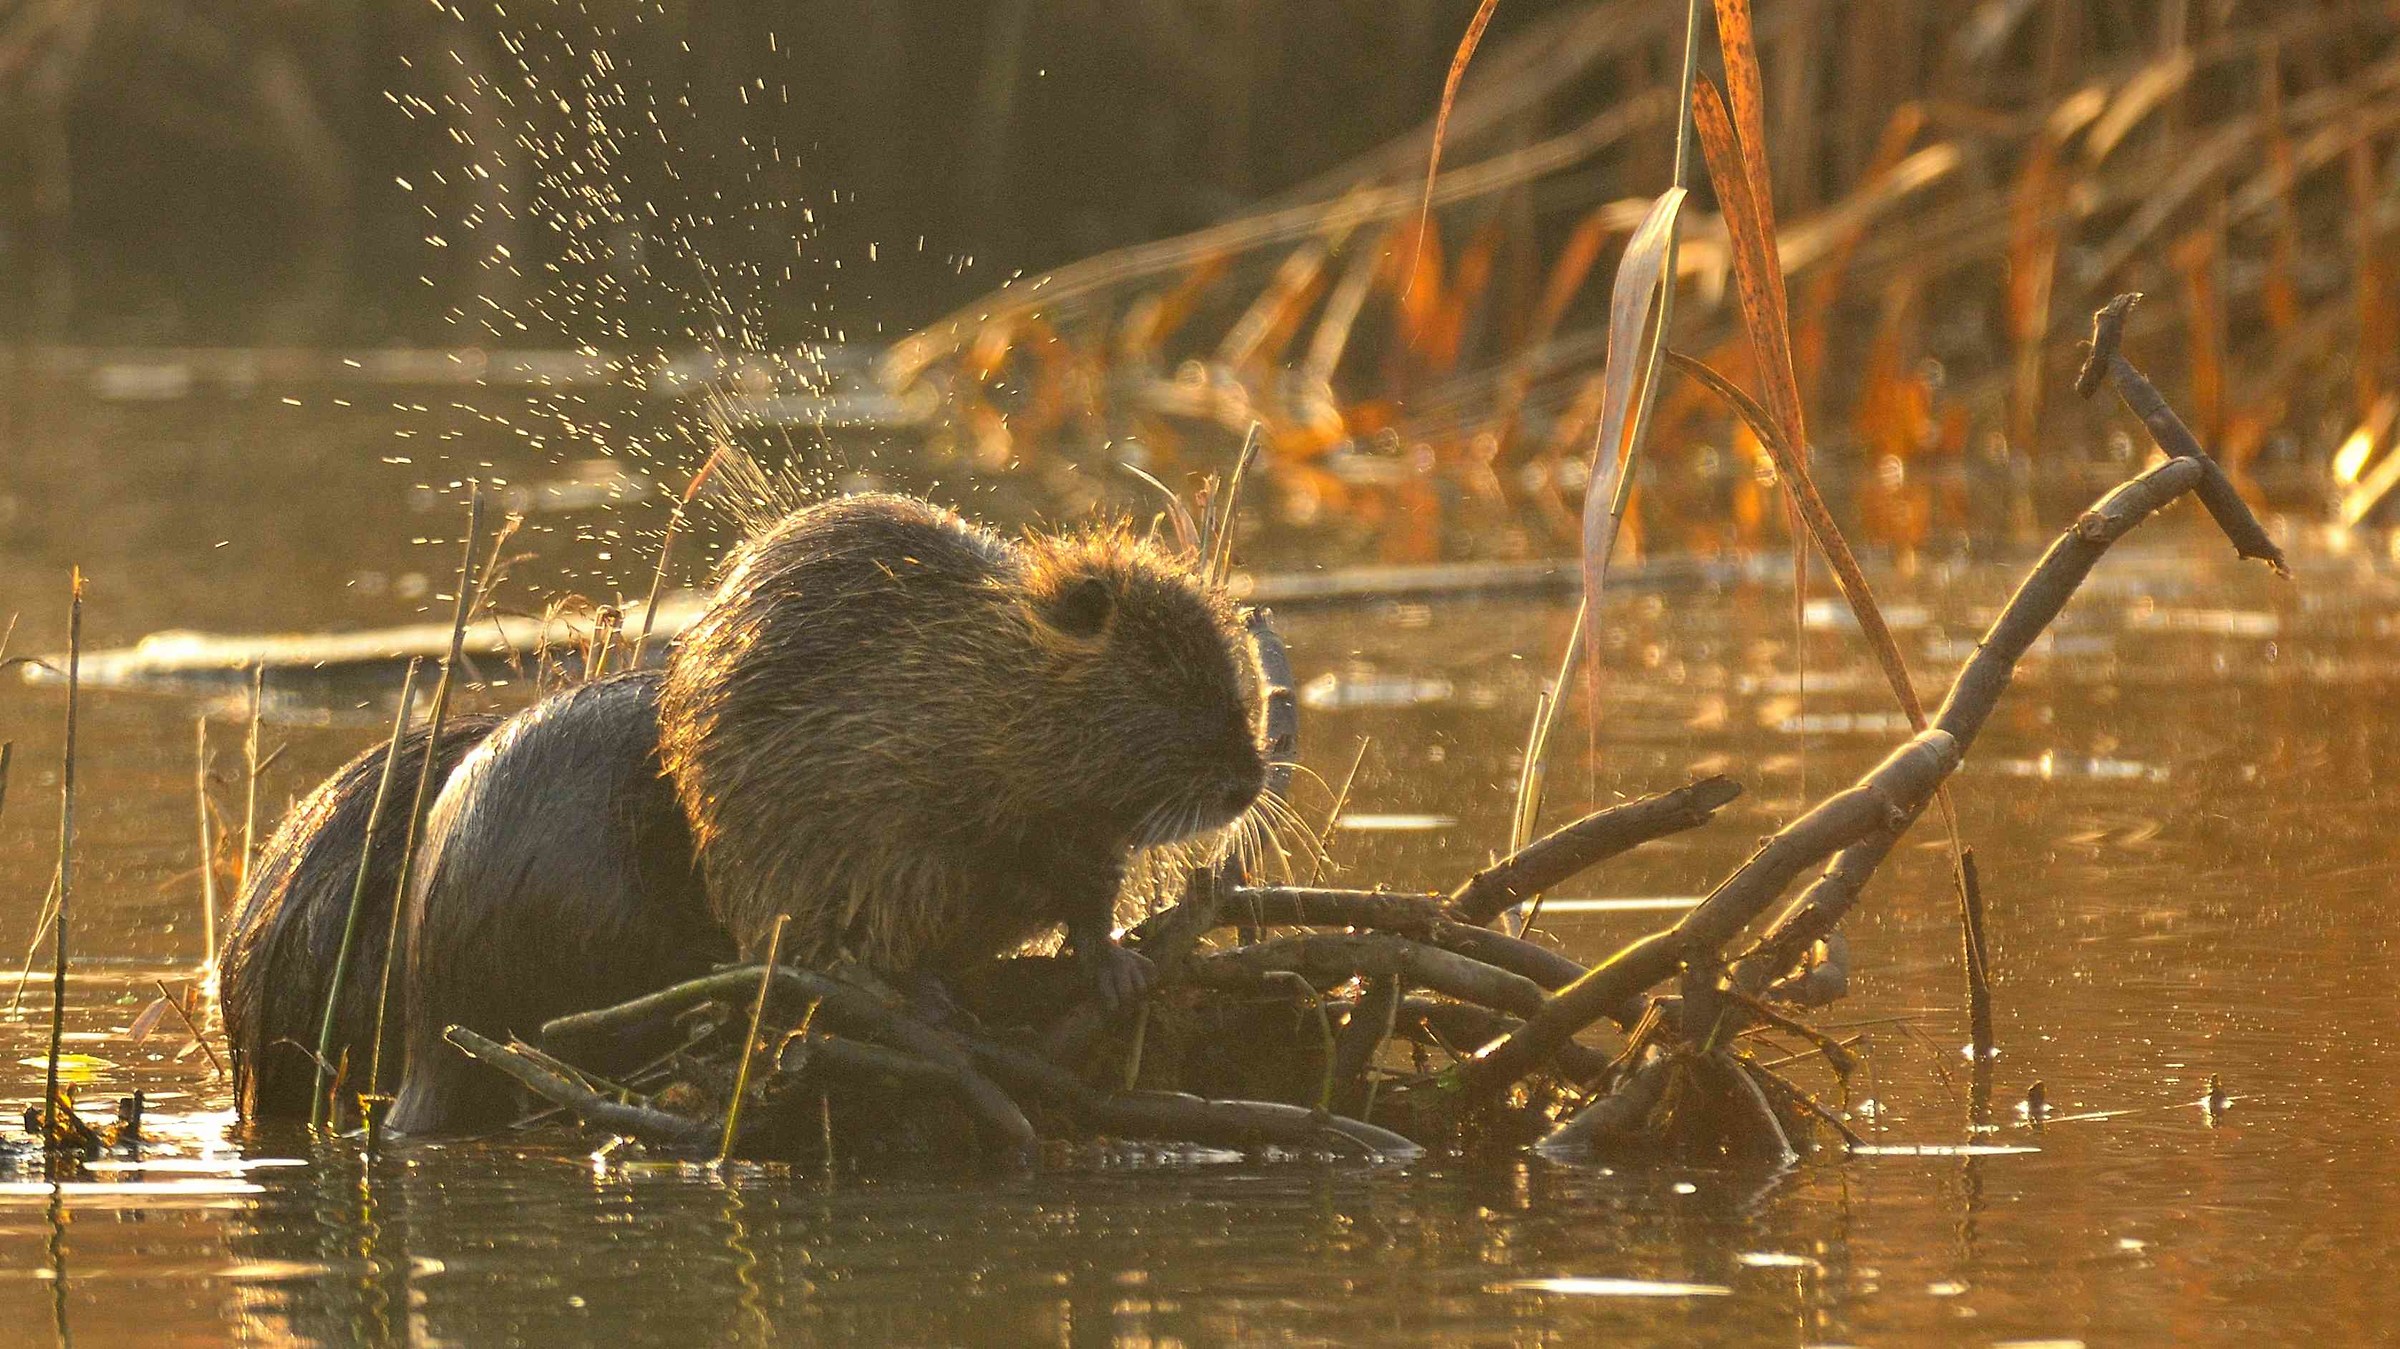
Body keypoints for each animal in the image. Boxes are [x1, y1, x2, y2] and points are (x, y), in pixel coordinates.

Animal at [221, 493, 1273, 1135]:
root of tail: (427, 1048)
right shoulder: (859, 794)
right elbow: (853, 908)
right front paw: (921, 993)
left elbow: (1085, 892)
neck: (970, 683)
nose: (1248, 778)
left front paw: (1121, 967)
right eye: (1161, 674)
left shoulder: (1076, 834)